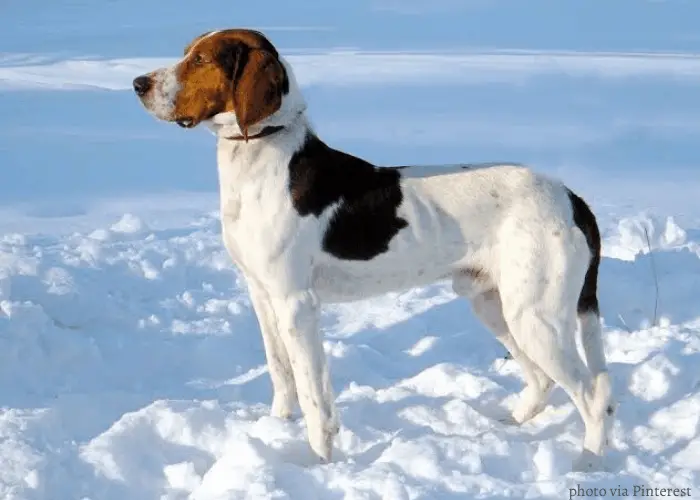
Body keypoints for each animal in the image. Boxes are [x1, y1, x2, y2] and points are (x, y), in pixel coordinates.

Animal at [134, 28, 616, 472]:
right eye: (186, 53)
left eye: (200, 59)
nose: (138, 83)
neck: (263, 159)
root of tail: (572, 198)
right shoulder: (261, 294)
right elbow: (281, 374)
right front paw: (275, 430)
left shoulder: (296, 304)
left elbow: (314, 398)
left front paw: (318, 464)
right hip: (495, 305)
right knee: (542, 381)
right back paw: (509, 426)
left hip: (535, 317)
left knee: (593, 394)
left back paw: (588, 462)